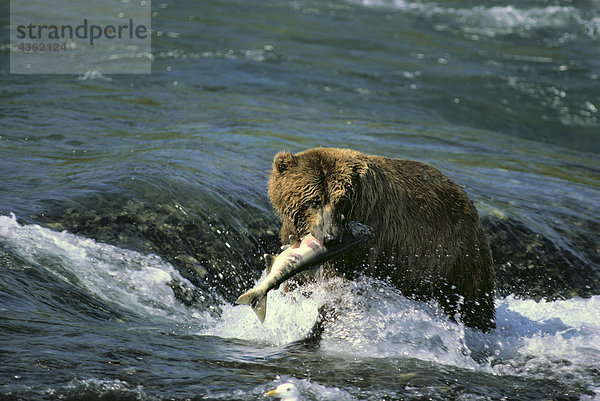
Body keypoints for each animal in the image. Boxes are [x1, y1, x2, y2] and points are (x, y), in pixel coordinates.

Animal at [268, 147, 496, 332]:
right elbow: (296, 284)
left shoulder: (364, 243)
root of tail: (469, 202)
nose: (330, 237)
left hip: (456, 257)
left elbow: (343, 283)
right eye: (314, 201)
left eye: (341, 201)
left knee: (475, 302)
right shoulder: (292, 236)